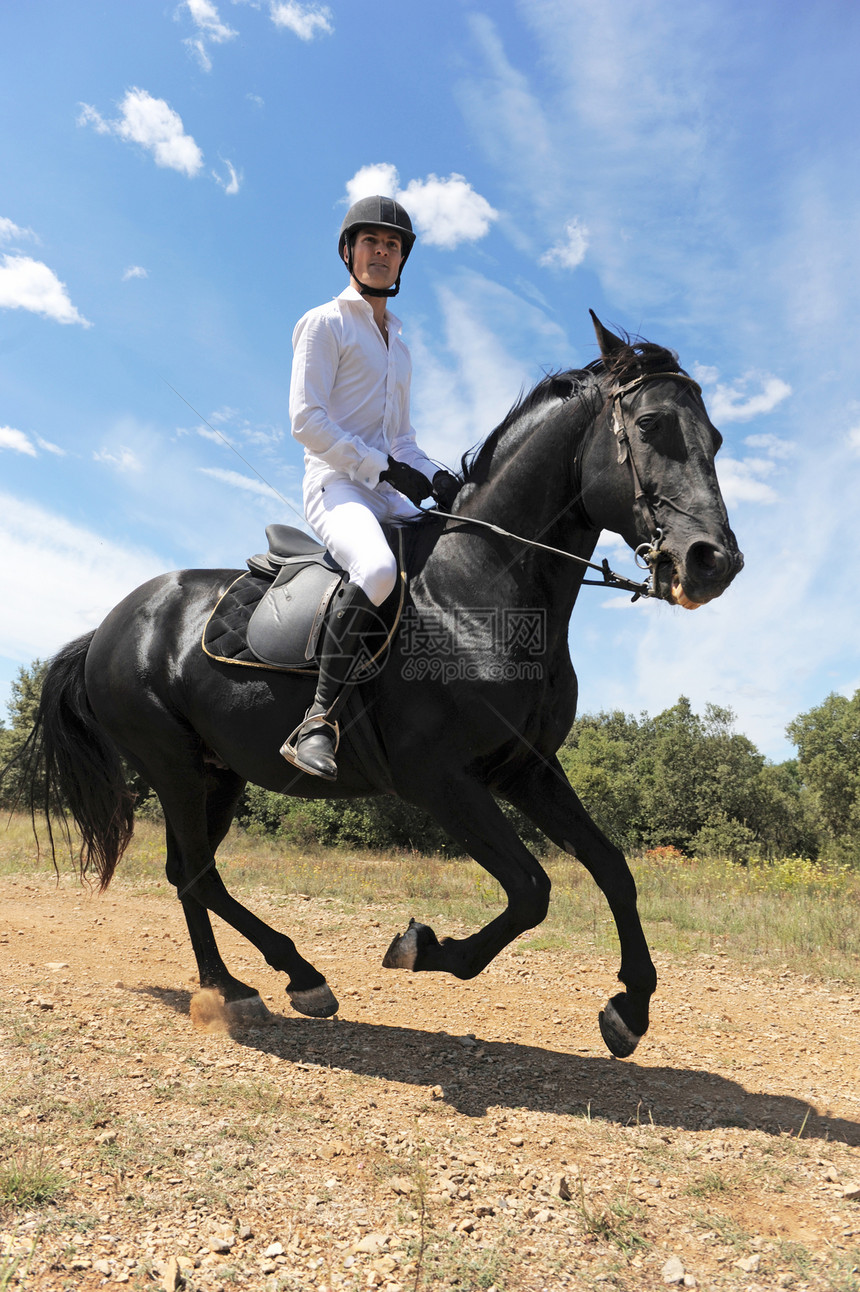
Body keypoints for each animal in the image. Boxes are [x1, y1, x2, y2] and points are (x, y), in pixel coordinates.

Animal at [23, 315, 738, 1059]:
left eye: (715, 439)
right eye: (652, 425)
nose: (714, 561)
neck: (479, 587)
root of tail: (110, 625)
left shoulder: (526, 768)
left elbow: (610, 867)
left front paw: (631, 1007)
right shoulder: (438, 779)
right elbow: (530, 889)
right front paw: (423, 947)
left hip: (218, 774)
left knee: (188, 872)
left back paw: (268, 981)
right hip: (175, 769)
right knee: (195, 870)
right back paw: (258, 983)